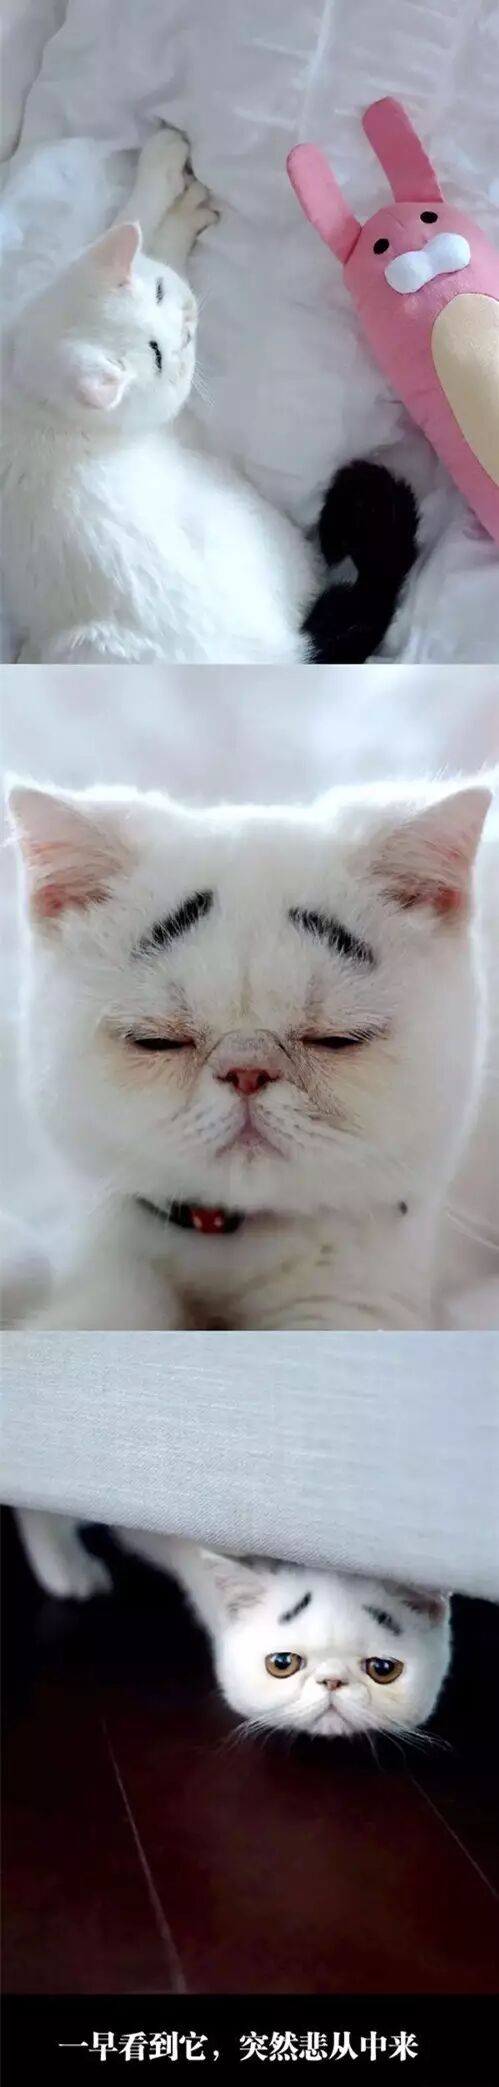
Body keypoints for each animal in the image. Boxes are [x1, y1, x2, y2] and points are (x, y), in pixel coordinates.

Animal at [0, 126, 416, 667]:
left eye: (159, 292)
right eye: (157, 356)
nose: (187, 327)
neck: (26, 393)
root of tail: (287, 654)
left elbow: (140, 220)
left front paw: (173, 187)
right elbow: (147, 221)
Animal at [7, 769, 494, 1331]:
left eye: (337, 1039)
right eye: (157, 1040)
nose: (247, 1070)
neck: (227, 1246)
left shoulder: (358, 1300)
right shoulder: (106, 1254)